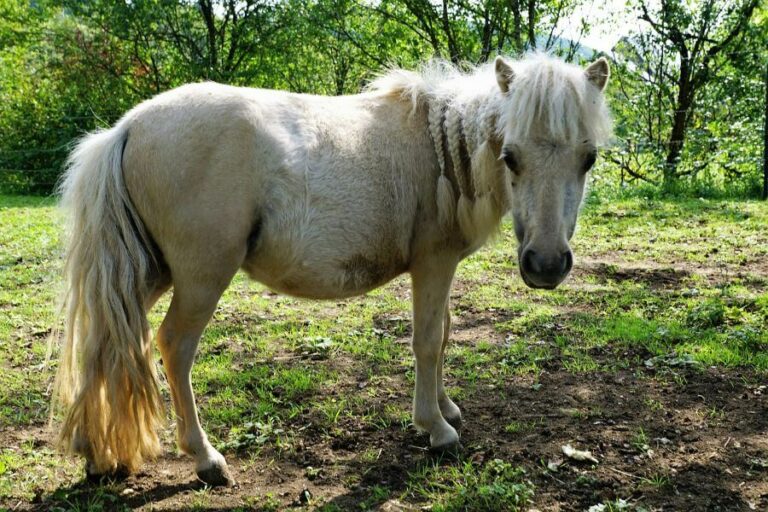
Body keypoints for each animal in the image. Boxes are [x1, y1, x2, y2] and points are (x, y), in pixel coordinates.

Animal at [51, 54, 611, 486]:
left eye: (588, 158)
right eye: (510, 156)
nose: (546, 264)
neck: (439, 146)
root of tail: (127, 127)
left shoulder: (444, 267)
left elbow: (446, 332)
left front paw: (446, 407)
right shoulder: (432, 264)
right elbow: (428, 341)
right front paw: (435, 427)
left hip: (146, 274)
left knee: (106, 341)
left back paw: (94, 453)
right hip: (200, 278)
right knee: (173, 347)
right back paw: (205, 458)